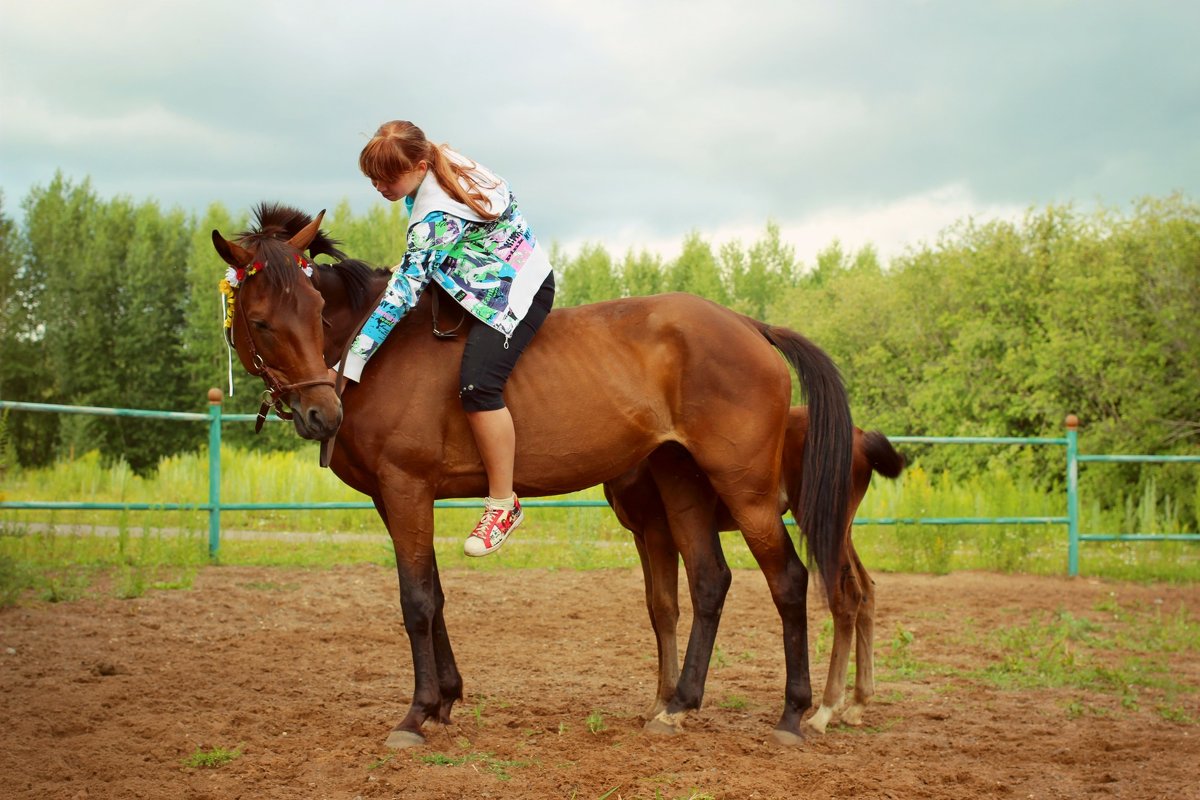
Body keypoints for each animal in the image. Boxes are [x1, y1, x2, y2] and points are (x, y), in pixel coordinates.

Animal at [213, 203, 854, 748]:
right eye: (262, 322)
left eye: (318, 314)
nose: (323, 413)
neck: (380, 349)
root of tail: (749, 325)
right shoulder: (392, 500)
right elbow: (435, 595)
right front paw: (444, 701)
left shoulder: (406, 489)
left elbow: (416, 600)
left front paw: (415, 715)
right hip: (683, 483)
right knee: (710, 581)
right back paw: (677, 706)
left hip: (746, 490)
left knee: (788, 581)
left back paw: (793, 714)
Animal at [604, 410, 902, 734]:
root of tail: (861, 439)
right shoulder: (639, 536)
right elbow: (652, 608)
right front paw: (659, 702)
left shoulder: (658, 531)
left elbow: (664, 608)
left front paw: (664, 703)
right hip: (840, 530)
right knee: (866, 591)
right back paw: (858, 704)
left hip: (821, 523)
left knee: (845, 599)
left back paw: (825, 711)